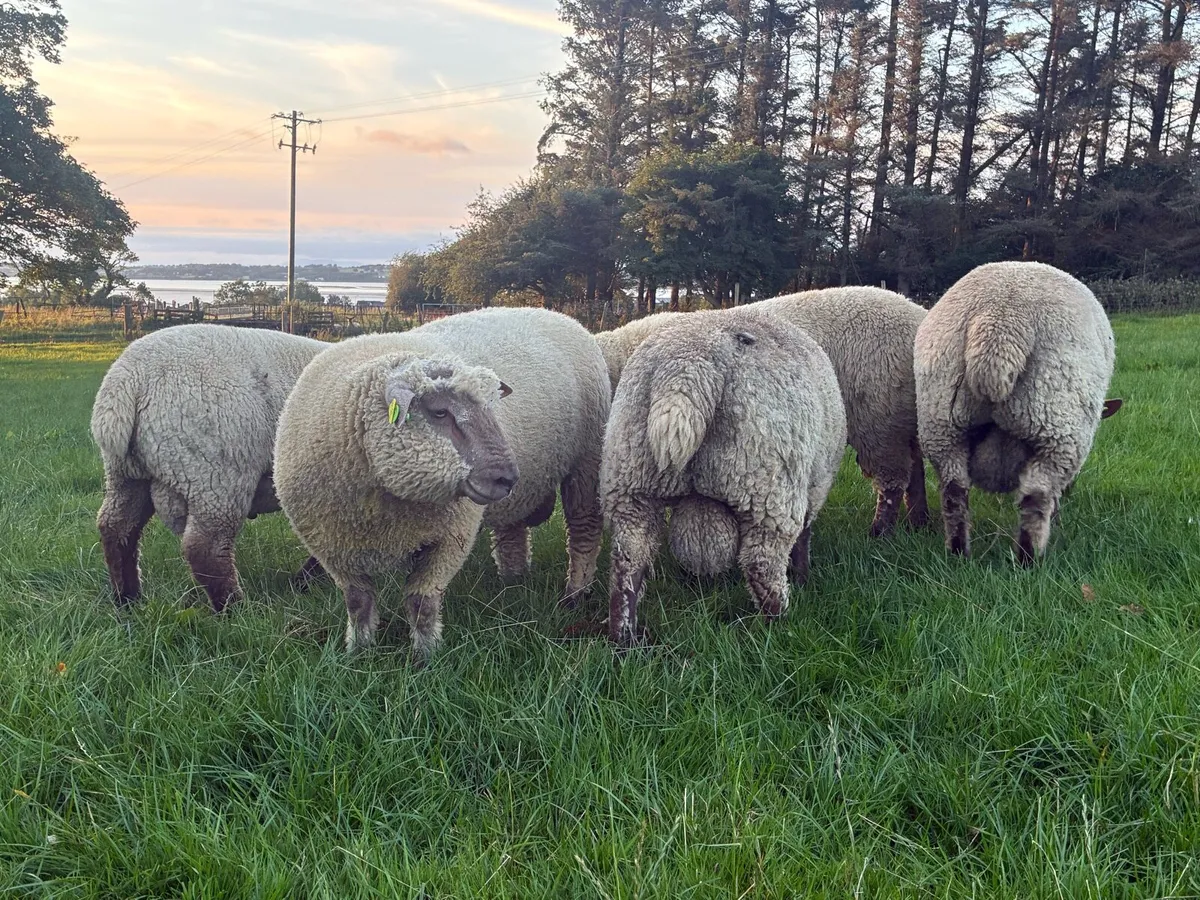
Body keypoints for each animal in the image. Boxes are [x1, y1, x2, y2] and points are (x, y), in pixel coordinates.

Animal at [90, 324, 328, 612]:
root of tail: (128, 379)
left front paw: (307, 579)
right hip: (215, 476)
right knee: (205, 549)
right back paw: (235, 609)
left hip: (126, 474)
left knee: (116, 528)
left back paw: (128, 599)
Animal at [273, 307, 611, 655]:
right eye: (439, 413)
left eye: (492, 408)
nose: (507, 477)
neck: (378, 504)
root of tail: (556, 313)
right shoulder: (330, 546)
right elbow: (358, 601)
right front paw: (359, 650)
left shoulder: (450, 537)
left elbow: (421, 601)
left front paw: (425, 656)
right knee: (512, 532)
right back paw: (512, 581)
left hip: (586, 462)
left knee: (584, 529)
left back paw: (575, 594)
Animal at [600, 309, 846, 646]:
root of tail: (687, 369)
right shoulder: (815, 485)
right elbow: (804, 537)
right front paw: (802, 576)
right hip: (766, 485)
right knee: (761, 565)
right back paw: (777, 627)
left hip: (631, 479)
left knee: (628, 562)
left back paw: (624, 638)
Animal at [913, 261, 1120, 563]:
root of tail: (999, 321)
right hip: (1056, 422)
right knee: (1036, 496)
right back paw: (1028, 559)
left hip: (941, 422)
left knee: (954, 493)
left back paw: (959, 554)